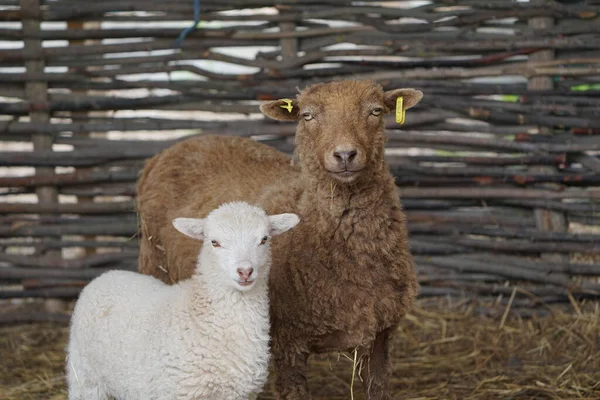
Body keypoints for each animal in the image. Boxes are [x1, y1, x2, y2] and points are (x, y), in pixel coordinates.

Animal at [136, 79, 422, 398]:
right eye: (307, 116)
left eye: (375, 111)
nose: (345, 155)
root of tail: (174, 147)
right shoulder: (288, 342)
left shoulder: (381, 339)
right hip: (154, 260)